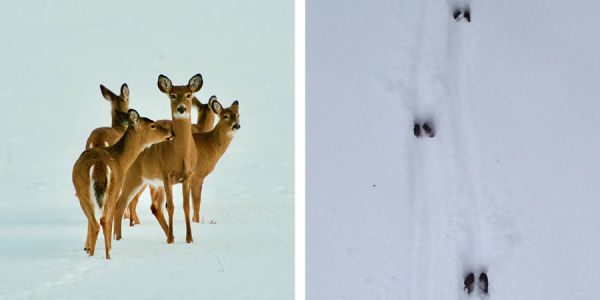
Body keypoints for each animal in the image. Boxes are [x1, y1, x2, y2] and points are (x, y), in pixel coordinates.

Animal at [72, 109, 173, 258]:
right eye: (153, 125)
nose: (171, 133)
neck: (120, 158)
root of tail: (99, 164)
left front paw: (89, 248)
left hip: (86, 190)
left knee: (97, 221)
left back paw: (95, 255)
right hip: (106, 189)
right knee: (103, 220)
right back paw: (105, 255)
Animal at [113, 73, 203, 244]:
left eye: (189, 95)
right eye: (173, 95)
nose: (181, 108)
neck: (179, 153)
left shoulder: (188, 175)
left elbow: (186, 206)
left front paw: (189, 239)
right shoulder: (166, 173)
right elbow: (171, 207)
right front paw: (171, 241)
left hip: (152, 182)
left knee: (154, 207)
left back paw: (170, 235)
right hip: (133, 176)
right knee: (119, 204)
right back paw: (118, 238)